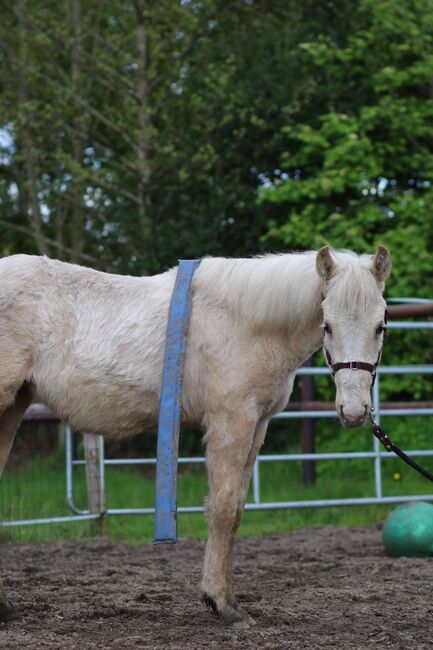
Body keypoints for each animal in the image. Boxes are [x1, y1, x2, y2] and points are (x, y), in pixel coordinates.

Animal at [0, 244, 392, 628]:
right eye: (327, 326)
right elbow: (222, 508)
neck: (246, 323)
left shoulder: (257, 424)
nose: (354, 412)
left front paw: (229, 599)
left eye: (380, 327)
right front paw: (221, 604)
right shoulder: (231, 419)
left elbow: (237, 510)